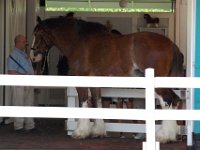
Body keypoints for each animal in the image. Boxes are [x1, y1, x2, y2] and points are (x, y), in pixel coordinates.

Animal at [30, 13, 184, 143]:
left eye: (38, 34)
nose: (33, 56)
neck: (79, 41)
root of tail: (171, 45)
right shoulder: (95, 81)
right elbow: (97, 102)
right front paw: (97, 131)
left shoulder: (82, 79)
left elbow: (84, 102)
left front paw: (80, 132)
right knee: (176, 100)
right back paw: (172, 135)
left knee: (167, 101)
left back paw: (162, 136)